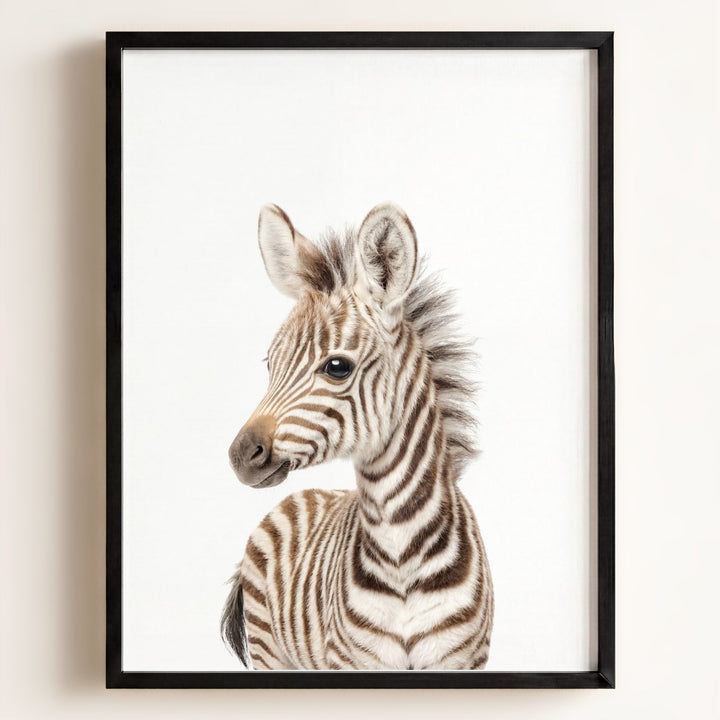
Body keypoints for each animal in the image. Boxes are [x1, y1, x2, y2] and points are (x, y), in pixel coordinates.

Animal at [221, 202, 493, 670]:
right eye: (270, 364)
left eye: (337, 367)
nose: (240, 454)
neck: (401, 552)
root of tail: (301, 496)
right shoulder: (353, 662)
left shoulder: (461, 661)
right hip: (269, 650)